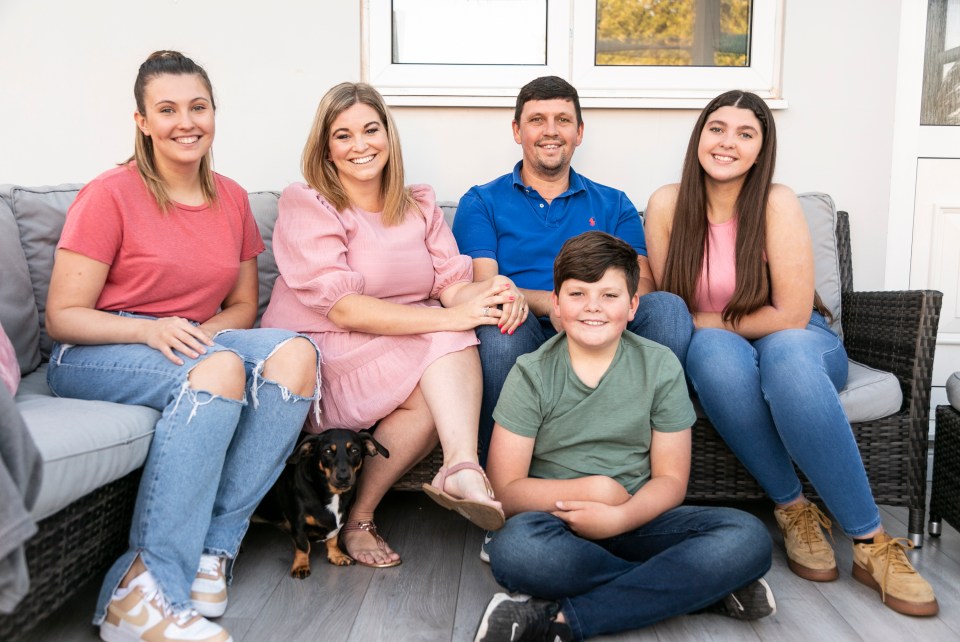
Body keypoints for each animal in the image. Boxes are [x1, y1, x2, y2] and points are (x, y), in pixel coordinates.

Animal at [258, 428, 390, 576]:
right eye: (327, 451)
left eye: (355, 450)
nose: (343, 477)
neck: (332, 495)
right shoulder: (299, 525)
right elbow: (304, 546)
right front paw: (301, 566)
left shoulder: (339, 524)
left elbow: (333, 540)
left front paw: (337, 556)